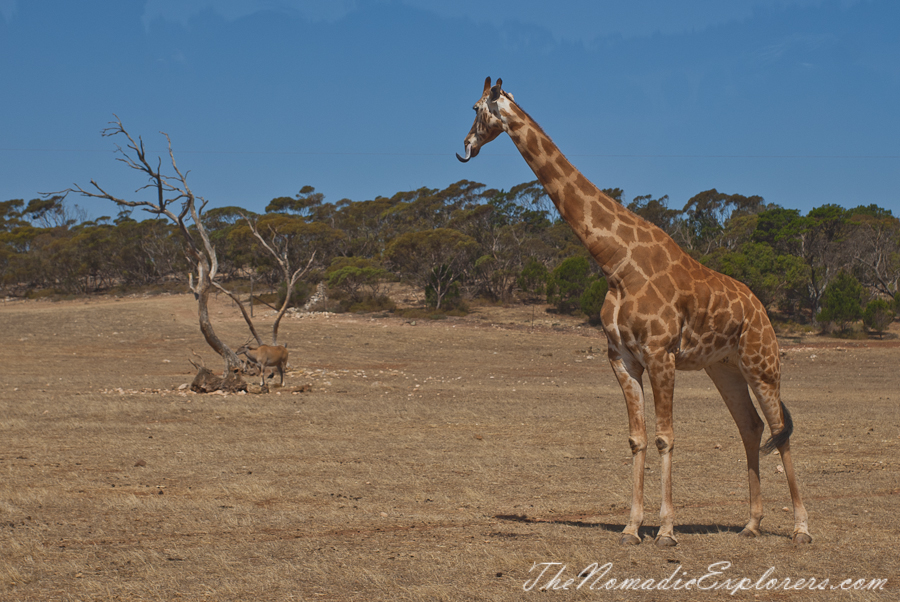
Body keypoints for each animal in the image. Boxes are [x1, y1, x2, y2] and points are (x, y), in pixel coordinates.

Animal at [460, 76, 812, 544]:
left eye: (476, 108)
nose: (465, 146)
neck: (616, 262)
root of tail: (761, 310)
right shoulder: (622, 358)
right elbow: (636, 438)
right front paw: (631, 527)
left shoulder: (661, 354)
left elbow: (664, 437)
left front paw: (665, 530)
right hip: (724, 367)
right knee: (750, 427)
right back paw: (751, 524)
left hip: (762, 364)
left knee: (778, 430)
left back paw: (801, 528)